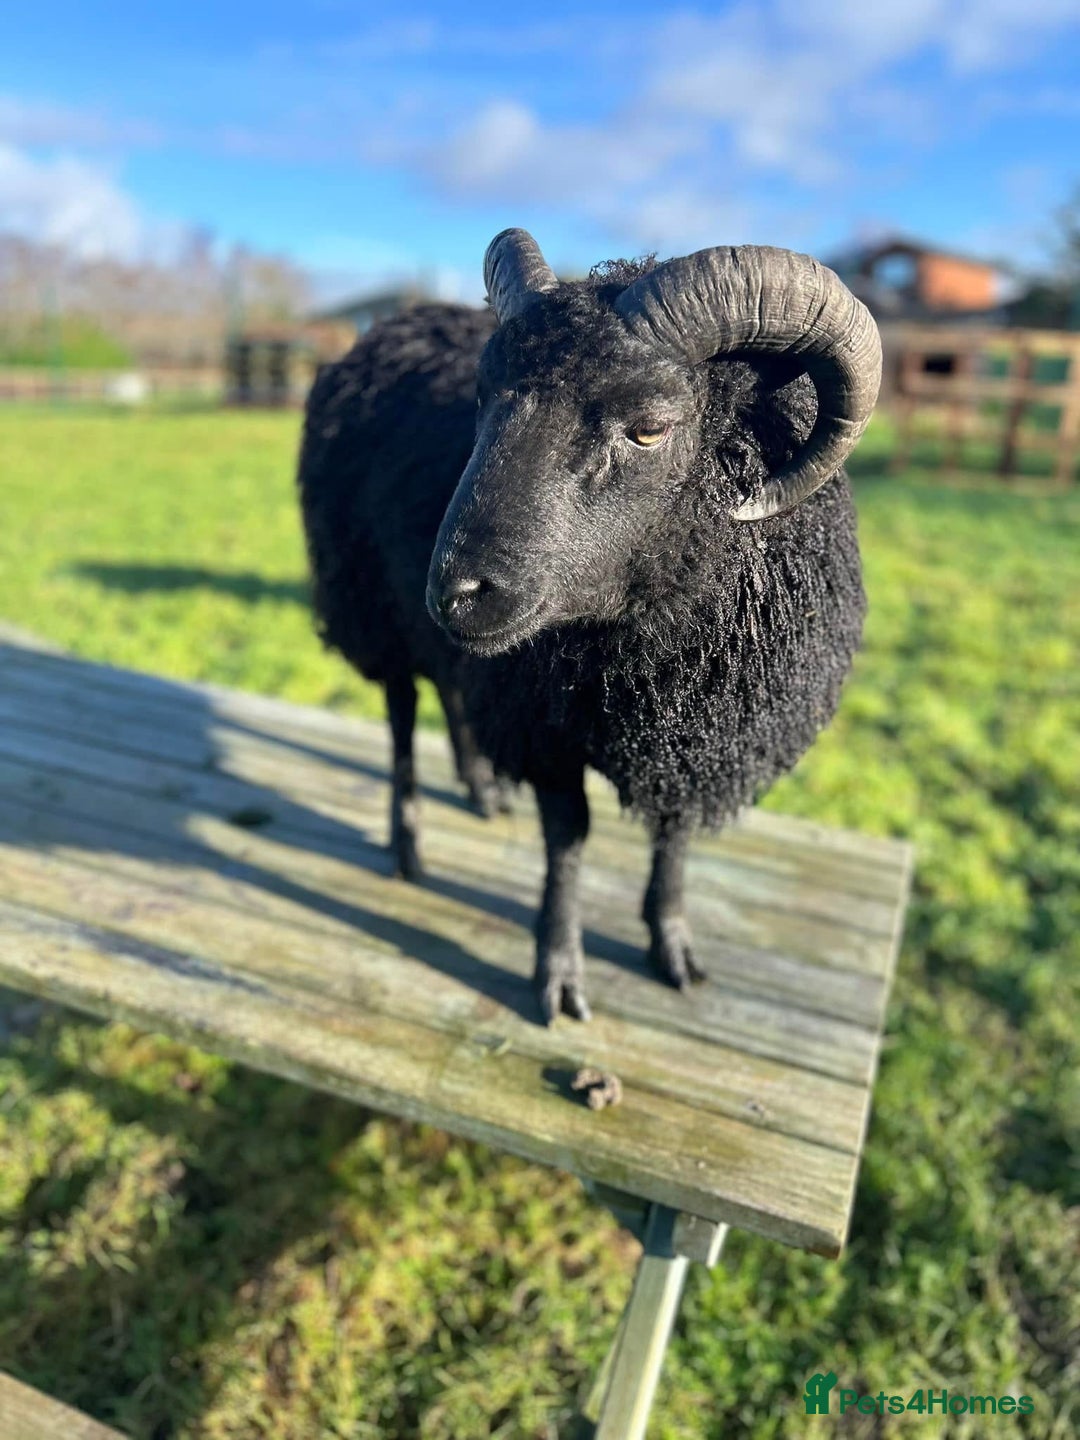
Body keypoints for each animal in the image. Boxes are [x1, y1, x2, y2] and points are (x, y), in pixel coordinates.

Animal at [298, 230, 881, 1024]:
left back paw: (481, 789)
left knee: (448, 690)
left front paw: (672, 944)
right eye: (481, 400)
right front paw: (559, 971)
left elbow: (675, 837)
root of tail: (392, 325)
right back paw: (408, 842)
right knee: (402, 714)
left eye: (650, 428)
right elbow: (568, 841)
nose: (458, 593)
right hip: (370, 602)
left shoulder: (698, 736)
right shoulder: (541, 724)